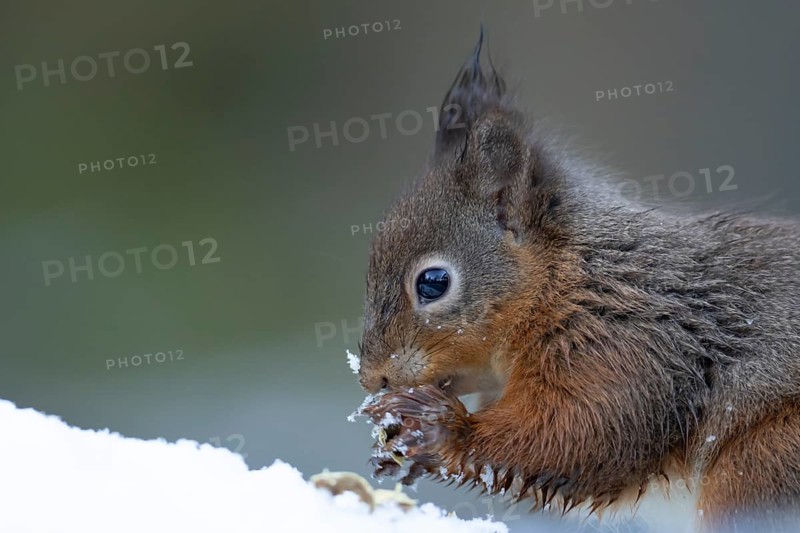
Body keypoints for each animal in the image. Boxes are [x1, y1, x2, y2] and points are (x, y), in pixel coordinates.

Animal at [355, 31, 800, 532]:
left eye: (432, 282)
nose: (373, 378)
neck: (568, 278)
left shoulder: (626, 345)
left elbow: (580, 435)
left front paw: (437, 429)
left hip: (762, 463)